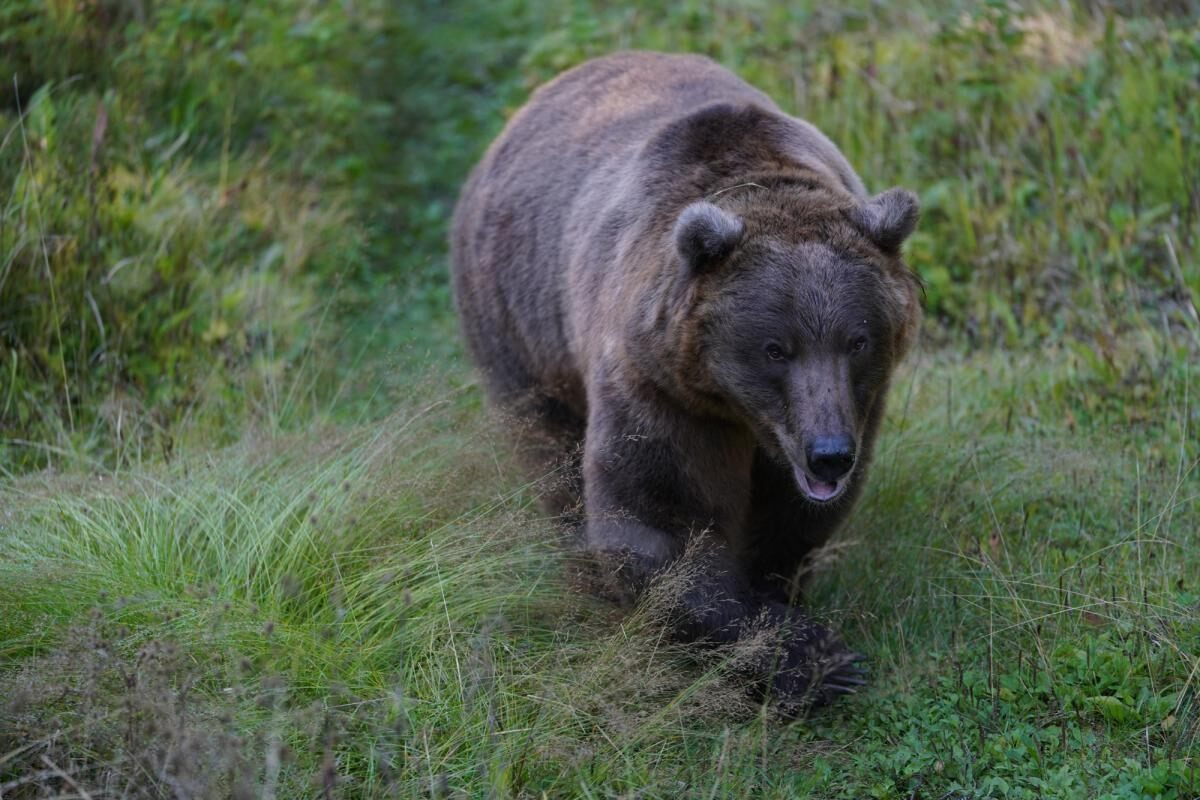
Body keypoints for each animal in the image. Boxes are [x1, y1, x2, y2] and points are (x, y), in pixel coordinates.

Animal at [451, 51, 916, 714]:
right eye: (775, 348)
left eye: (858, 340)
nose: (828, 455)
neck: (741, 413)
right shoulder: (660, 389)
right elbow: (660, 521)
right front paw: (811, 658)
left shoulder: (859, 405)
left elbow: (791, 520)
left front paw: (786, 598)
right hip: (517, 320)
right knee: (550, 450)